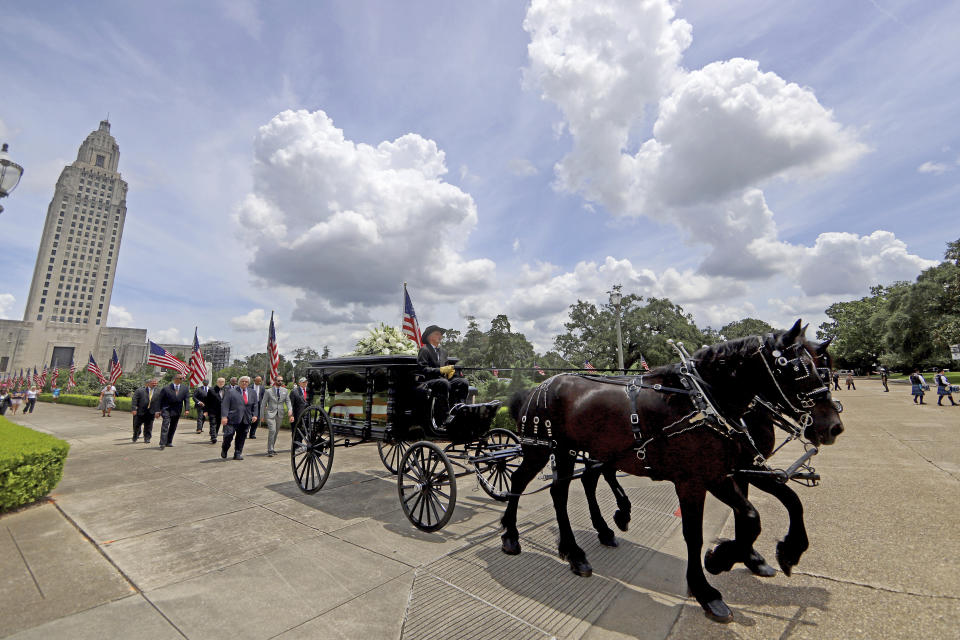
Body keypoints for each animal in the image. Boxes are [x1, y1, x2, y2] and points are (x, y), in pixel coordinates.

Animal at [498, 322, 844, 624]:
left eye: (823, 368)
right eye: (798, 368)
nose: (833, 426)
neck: (703, 401)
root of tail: (537, 387)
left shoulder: (732, 470)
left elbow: (778, 505)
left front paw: (775, 553)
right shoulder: (697, 479)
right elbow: (705, 531)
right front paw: (709, 580)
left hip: (580, 451)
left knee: (571, 486)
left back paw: (586, 541)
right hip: (543, 448)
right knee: (524, 482)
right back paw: (517, 537)